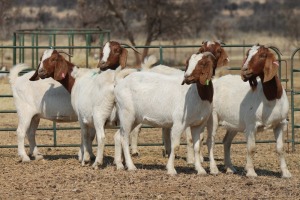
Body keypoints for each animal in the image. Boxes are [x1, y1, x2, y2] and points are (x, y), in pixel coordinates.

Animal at [207, 44, 292, 177]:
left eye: (263, 55)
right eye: (247, 54)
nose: (245, 70)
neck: (271, 98)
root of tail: (215, 81)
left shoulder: (280, 123)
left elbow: (280, 149)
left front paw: (286, 173)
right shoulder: (251, 125)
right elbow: (251, 148)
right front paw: (251, 172)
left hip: (234, 123)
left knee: (226, 141)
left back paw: (230, 167)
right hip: (213, 118)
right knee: (211, 141)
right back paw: (214, 169)